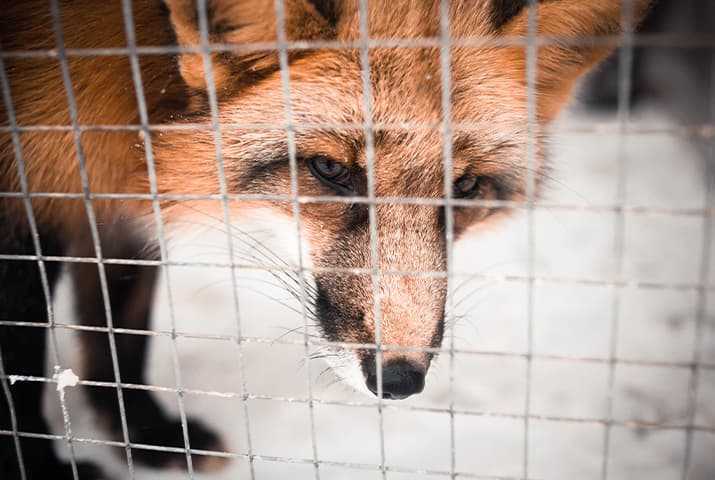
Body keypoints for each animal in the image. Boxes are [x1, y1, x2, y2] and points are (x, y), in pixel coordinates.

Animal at [0, 0, 652, 476]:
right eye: (332, 170)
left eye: (464, 186)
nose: (400, 381)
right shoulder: (31, 197)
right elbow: (22, 362)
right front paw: (39, 465)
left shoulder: (108, 202)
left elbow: (120, 340)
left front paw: (147, 438)